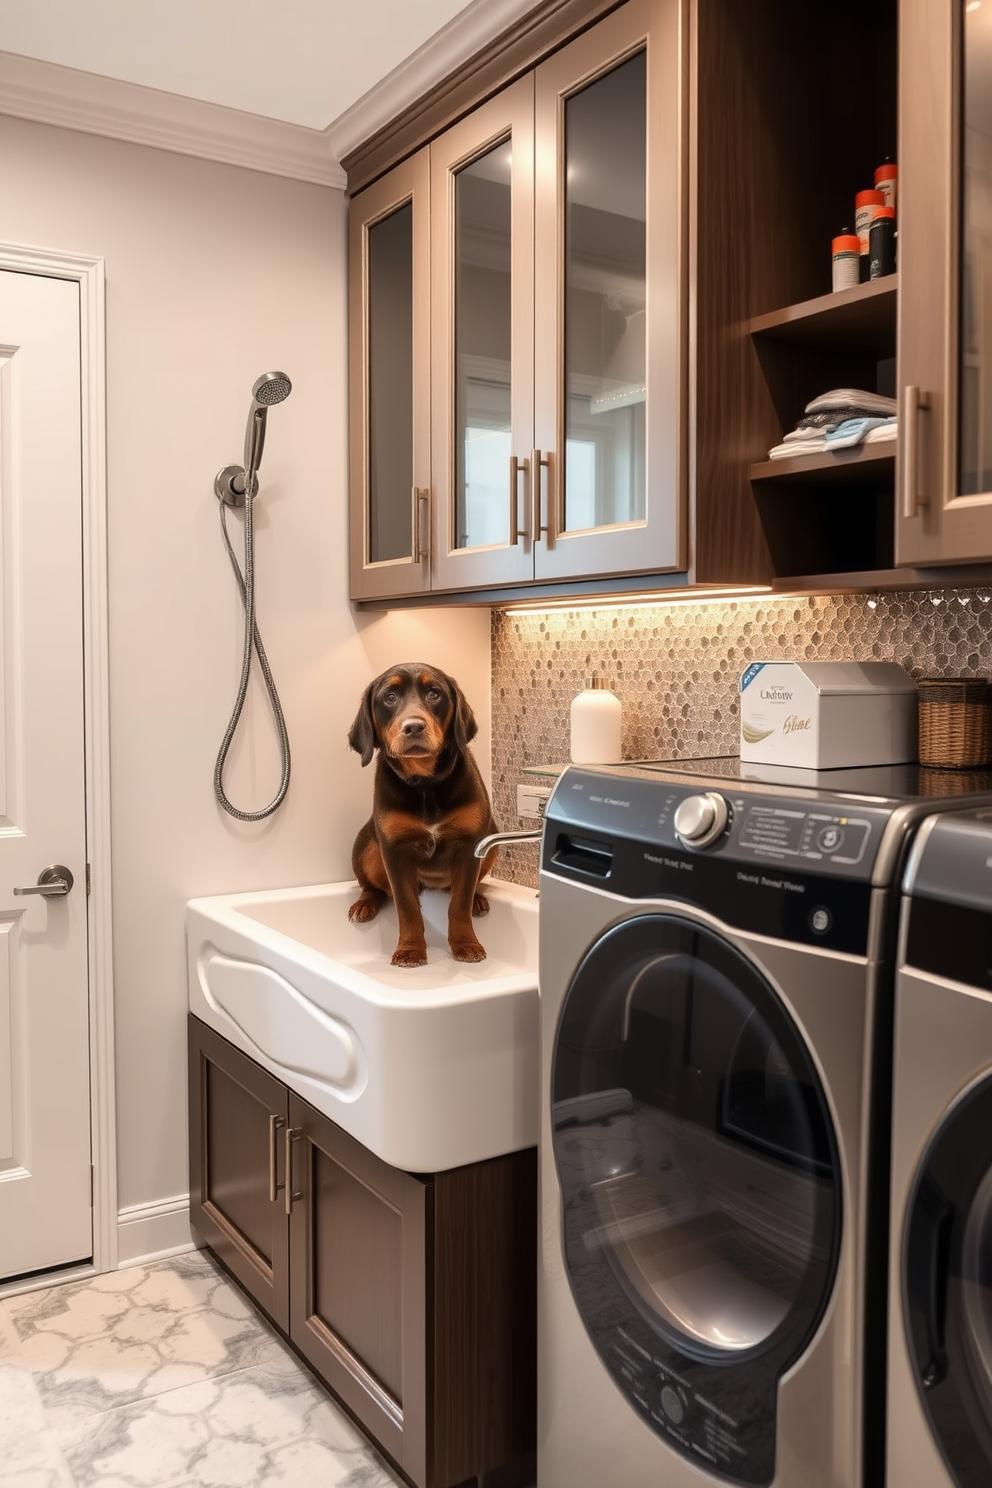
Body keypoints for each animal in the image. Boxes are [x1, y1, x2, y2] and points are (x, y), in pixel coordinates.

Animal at [349, 663, 499, 964]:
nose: (414, 726)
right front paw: (410, 948)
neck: (425, 784)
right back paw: (364, 904)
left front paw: (466, 943)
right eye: (390, 697)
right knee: (372, 886)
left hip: (493, 839)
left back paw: (477, 898)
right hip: (365, 845)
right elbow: (406, 907)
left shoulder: (470, 846)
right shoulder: (394, 850)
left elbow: (459, 903)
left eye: (434, 694)